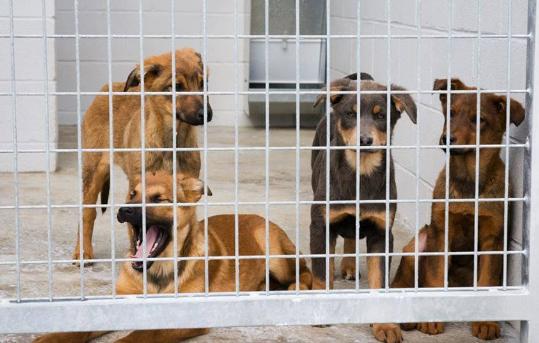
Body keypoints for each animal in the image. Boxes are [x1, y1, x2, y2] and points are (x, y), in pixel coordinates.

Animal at [34, 172, 312, 343]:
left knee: (306, 272)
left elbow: (140, 335)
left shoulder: (184, 315)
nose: (124, 210)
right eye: (132, 195)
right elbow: (80, 325)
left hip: (274, 251)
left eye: (159, 200)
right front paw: (50, 337)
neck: (157, 272)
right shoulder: (119, 303)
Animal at [74, 47, 213, 264]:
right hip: (93, 169)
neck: (171, 140)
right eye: (176, 87)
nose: (206, 114)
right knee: (87, 213)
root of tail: (107, 88)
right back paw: (82, 253)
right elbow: (137, 232)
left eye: (203, 84)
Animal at [308, 72, 418, 336]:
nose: (365, 140)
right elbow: (321, 271)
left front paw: (385, 325)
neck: (361, 171)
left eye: (381, 116)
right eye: (350, 114)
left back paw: (348, 265)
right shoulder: (320, 225)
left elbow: (380, 278)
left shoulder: (381, 231)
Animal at [376, 78, 528, 343]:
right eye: (451, 113)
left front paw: (486, 323)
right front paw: (431, 319)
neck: (469, 181)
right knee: (407, 281)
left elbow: (487, 280)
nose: (447, 138)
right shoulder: (441, 233)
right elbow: (435, 278)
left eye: (479, 119)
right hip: (416, 244)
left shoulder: (493, 239)